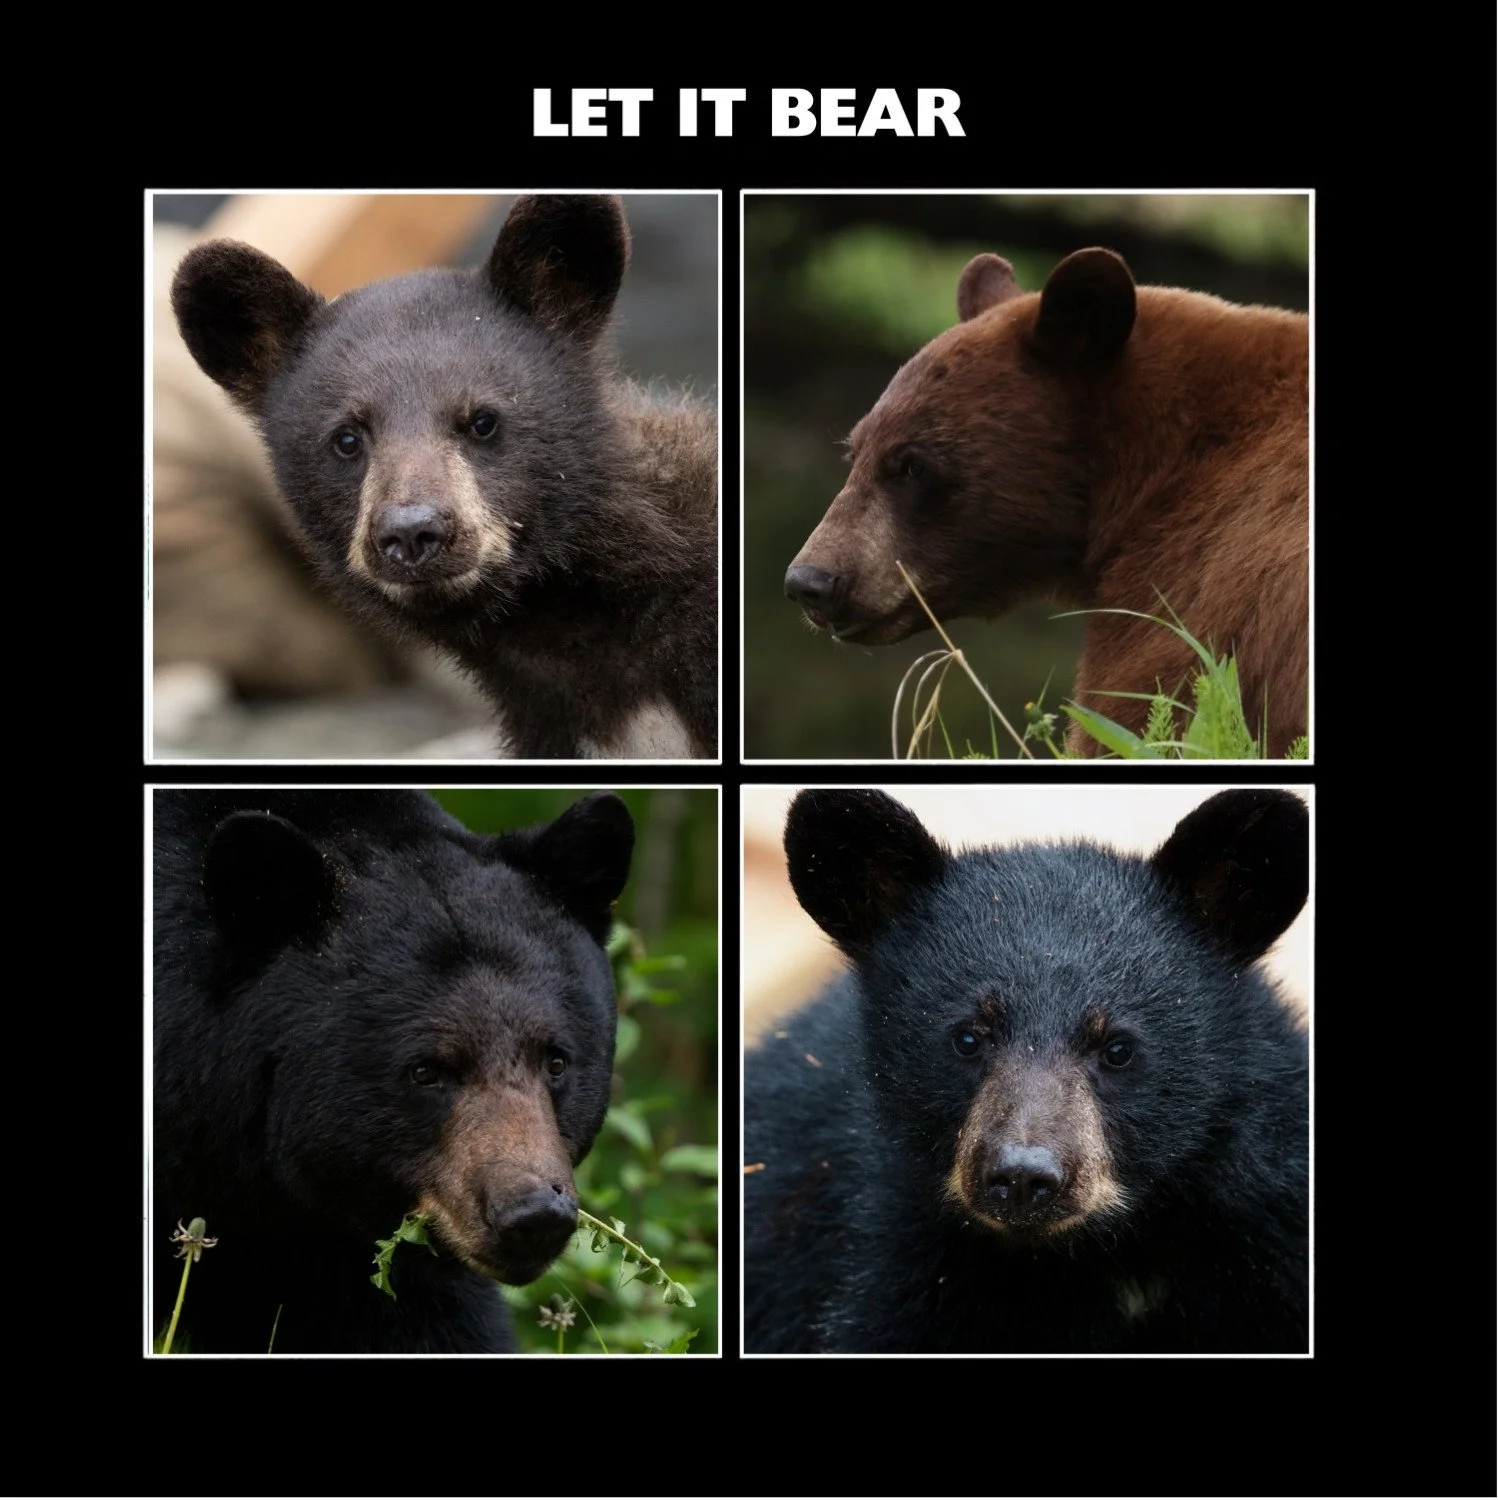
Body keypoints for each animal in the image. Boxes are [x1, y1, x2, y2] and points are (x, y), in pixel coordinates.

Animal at [744, 787, 1309, 1353]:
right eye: (968, 1038)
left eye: (1117, 1049)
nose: (1021, 1177)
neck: (1098, 1255)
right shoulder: (893, 1252)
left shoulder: (1269, 1220)